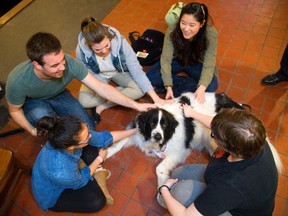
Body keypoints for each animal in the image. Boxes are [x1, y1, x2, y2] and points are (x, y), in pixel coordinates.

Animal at [107, 92, 282, 186]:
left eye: (164, 125)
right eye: (151, 123)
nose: (157, 136)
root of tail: (235, 105)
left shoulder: (177, 151)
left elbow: (160, 168)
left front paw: (162, 186)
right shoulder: (138, 132)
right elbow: (119, 144)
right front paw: (106, 153)